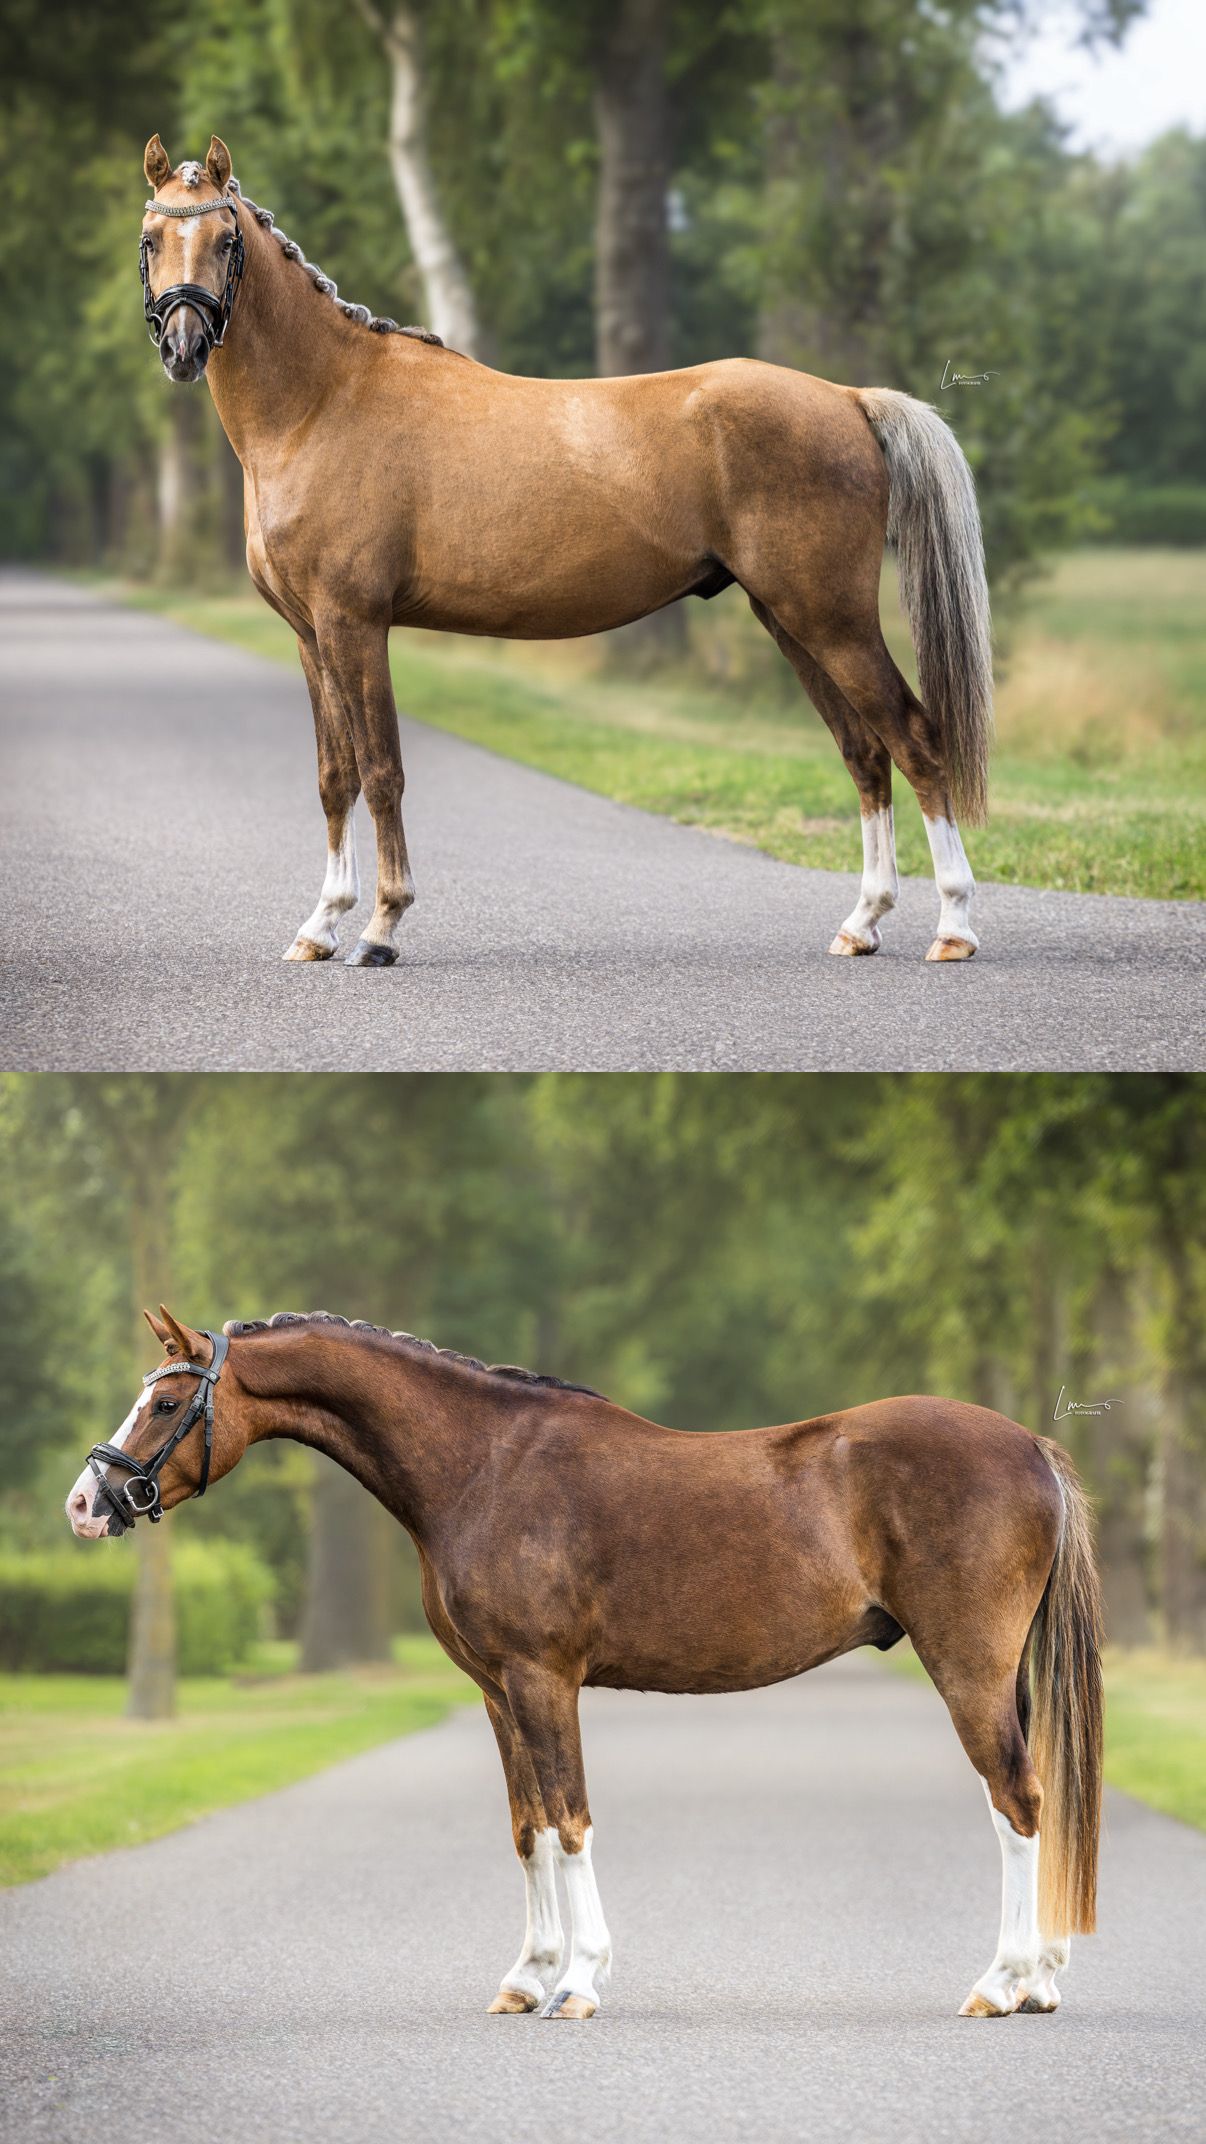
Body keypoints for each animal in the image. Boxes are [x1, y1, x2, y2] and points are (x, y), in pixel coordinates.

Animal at [67, 1307, 1101, 2023]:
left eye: (167, 1401)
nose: (86, 1502)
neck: (484, 1467)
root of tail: (1030, 1446)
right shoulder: (497, 1692)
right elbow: (528, 1828)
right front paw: (527, 1979)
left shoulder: (542, 1678)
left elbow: (569, 1823)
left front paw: (578, 1983)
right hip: (1002, 1674)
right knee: (1033, 1800)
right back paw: (1042, 1982)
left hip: (967, 1669)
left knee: (1017, 1802)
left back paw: (1002, 1984)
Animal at [137, 134, 993, 971]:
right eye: (151, 239)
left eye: (225, 240)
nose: (182, 345)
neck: (321, 403)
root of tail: (848, 400)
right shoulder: (310, 634)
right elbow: (333, 774)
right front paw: (321, 925)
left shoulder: (355, 624)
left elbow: (381, 771)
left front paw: (382, 925)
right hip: (790, 620)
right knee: (864, 753)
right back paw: (863, 922)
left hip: (831, 619)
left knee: (915, 740)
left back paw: (954, 926)